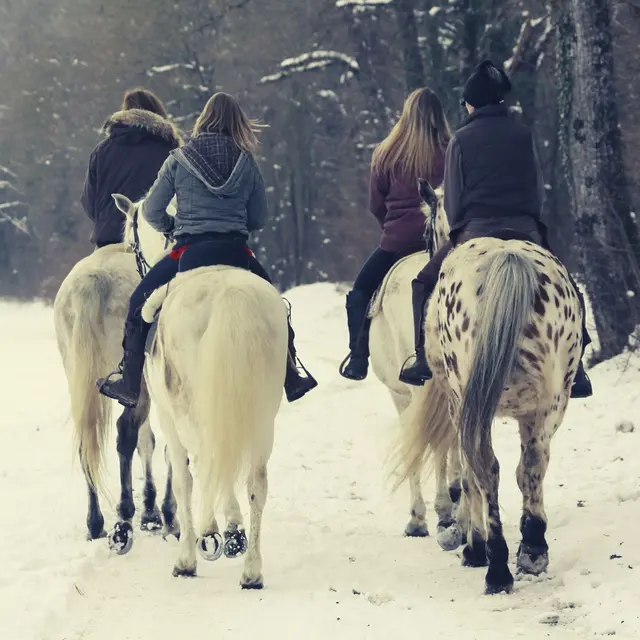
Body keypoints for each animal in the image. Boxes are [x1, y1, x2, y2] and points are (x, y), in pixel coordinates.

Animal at [53, 244, 168, 543]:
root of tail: (92, 281)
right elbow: (146, 441)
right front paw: (151, 511)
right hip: (136, 386)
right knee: (126, 434)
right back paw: (126, 510)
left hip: (78, 378)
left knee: (86, 441)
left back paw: (95, 523)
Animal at [110, 193, 288, 588]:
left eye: (131, 241)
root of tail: (230, 293)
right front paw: (233, 532)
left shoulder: (168, 415)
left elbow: (184, 477)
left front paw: (206, 540)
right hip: (263, 413)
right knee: (255, 481)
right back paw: (252, 571)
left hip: (188, 409)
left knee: (205, 461)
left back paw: (201, 544)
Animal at [395, 180, 584, 594]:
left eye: (426, 232)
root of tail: (508, 257)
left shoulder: (458, 404)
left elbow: (467, 475)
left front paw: (468, 539)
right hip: (551, 402)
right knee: (531, 464)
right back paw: (532, 550)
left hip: (473, 401)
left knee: (485, 468)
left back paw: (492, 561)